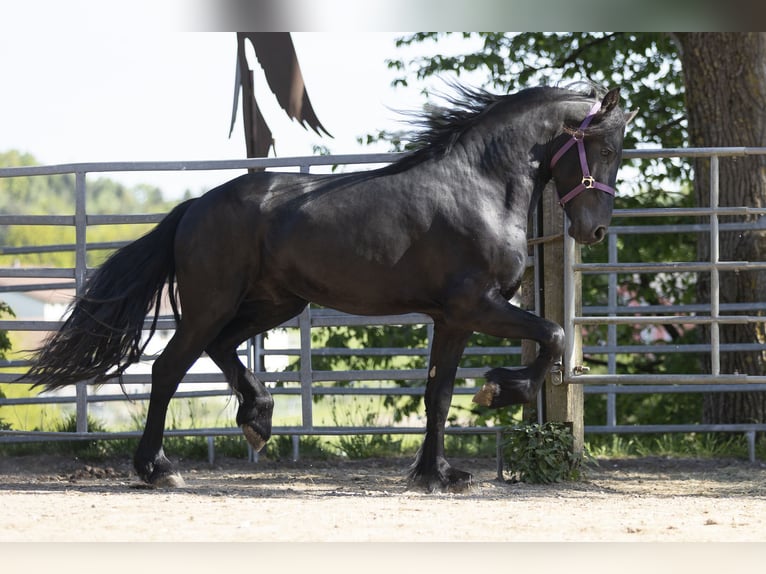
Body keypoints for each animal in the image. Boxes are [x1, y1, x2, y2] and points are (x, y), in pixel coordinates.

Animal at [26, 83, 635, 492]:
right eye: (606, 151)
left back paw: (258, 419)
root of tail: (194, 207)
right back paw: (158, 469)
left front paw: (437, 473)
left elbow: (438, 394)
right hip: (212, 304)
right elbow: (554, 334)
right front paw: (497, 392)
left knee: (221, 349)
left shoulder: (452, 319)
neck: (480, 188)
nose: (594, 230)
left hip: (275, 302)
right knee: (169, 368)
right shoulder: (477, 306)